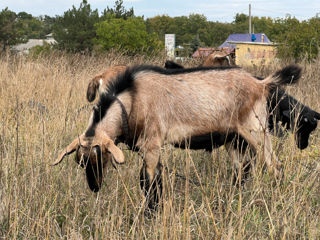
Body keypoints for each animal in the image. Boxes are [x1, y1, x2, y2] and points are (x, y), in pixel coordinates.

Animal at [52, 63, 300, 210]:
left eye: (100, 157)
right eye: (80, 162)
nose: (94, 187)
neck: (133, 99)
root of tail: (261, 83)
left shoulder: (152, 145)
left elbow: (149, 183)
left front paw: (151, 213)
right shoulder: (148, 149)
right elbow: (151, 180)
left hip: (256, 131)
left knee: (275, 166)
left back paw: (277, 198)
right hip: (233, 139)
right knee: (242, 170)